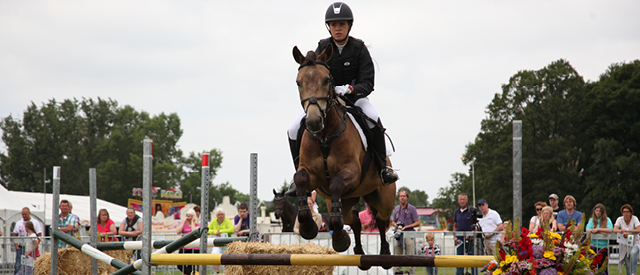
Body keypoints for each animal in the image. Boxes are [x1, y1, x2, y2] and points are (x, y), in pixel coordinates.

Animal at [290, 44, 396, 270]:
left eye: (326, 80)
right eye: (298, 82)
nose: (313, 121)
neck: (324, 136)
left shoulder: (351, 174)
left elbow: (336, 183)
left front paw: (338, 239)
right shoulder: (311, 175)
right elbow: (300, 179)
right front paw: (309, 228)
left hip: (383, 198)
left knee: (381, 220)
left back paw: (384, 253)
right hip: (344, 201)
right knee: (353, 219)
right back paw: (358, 251)